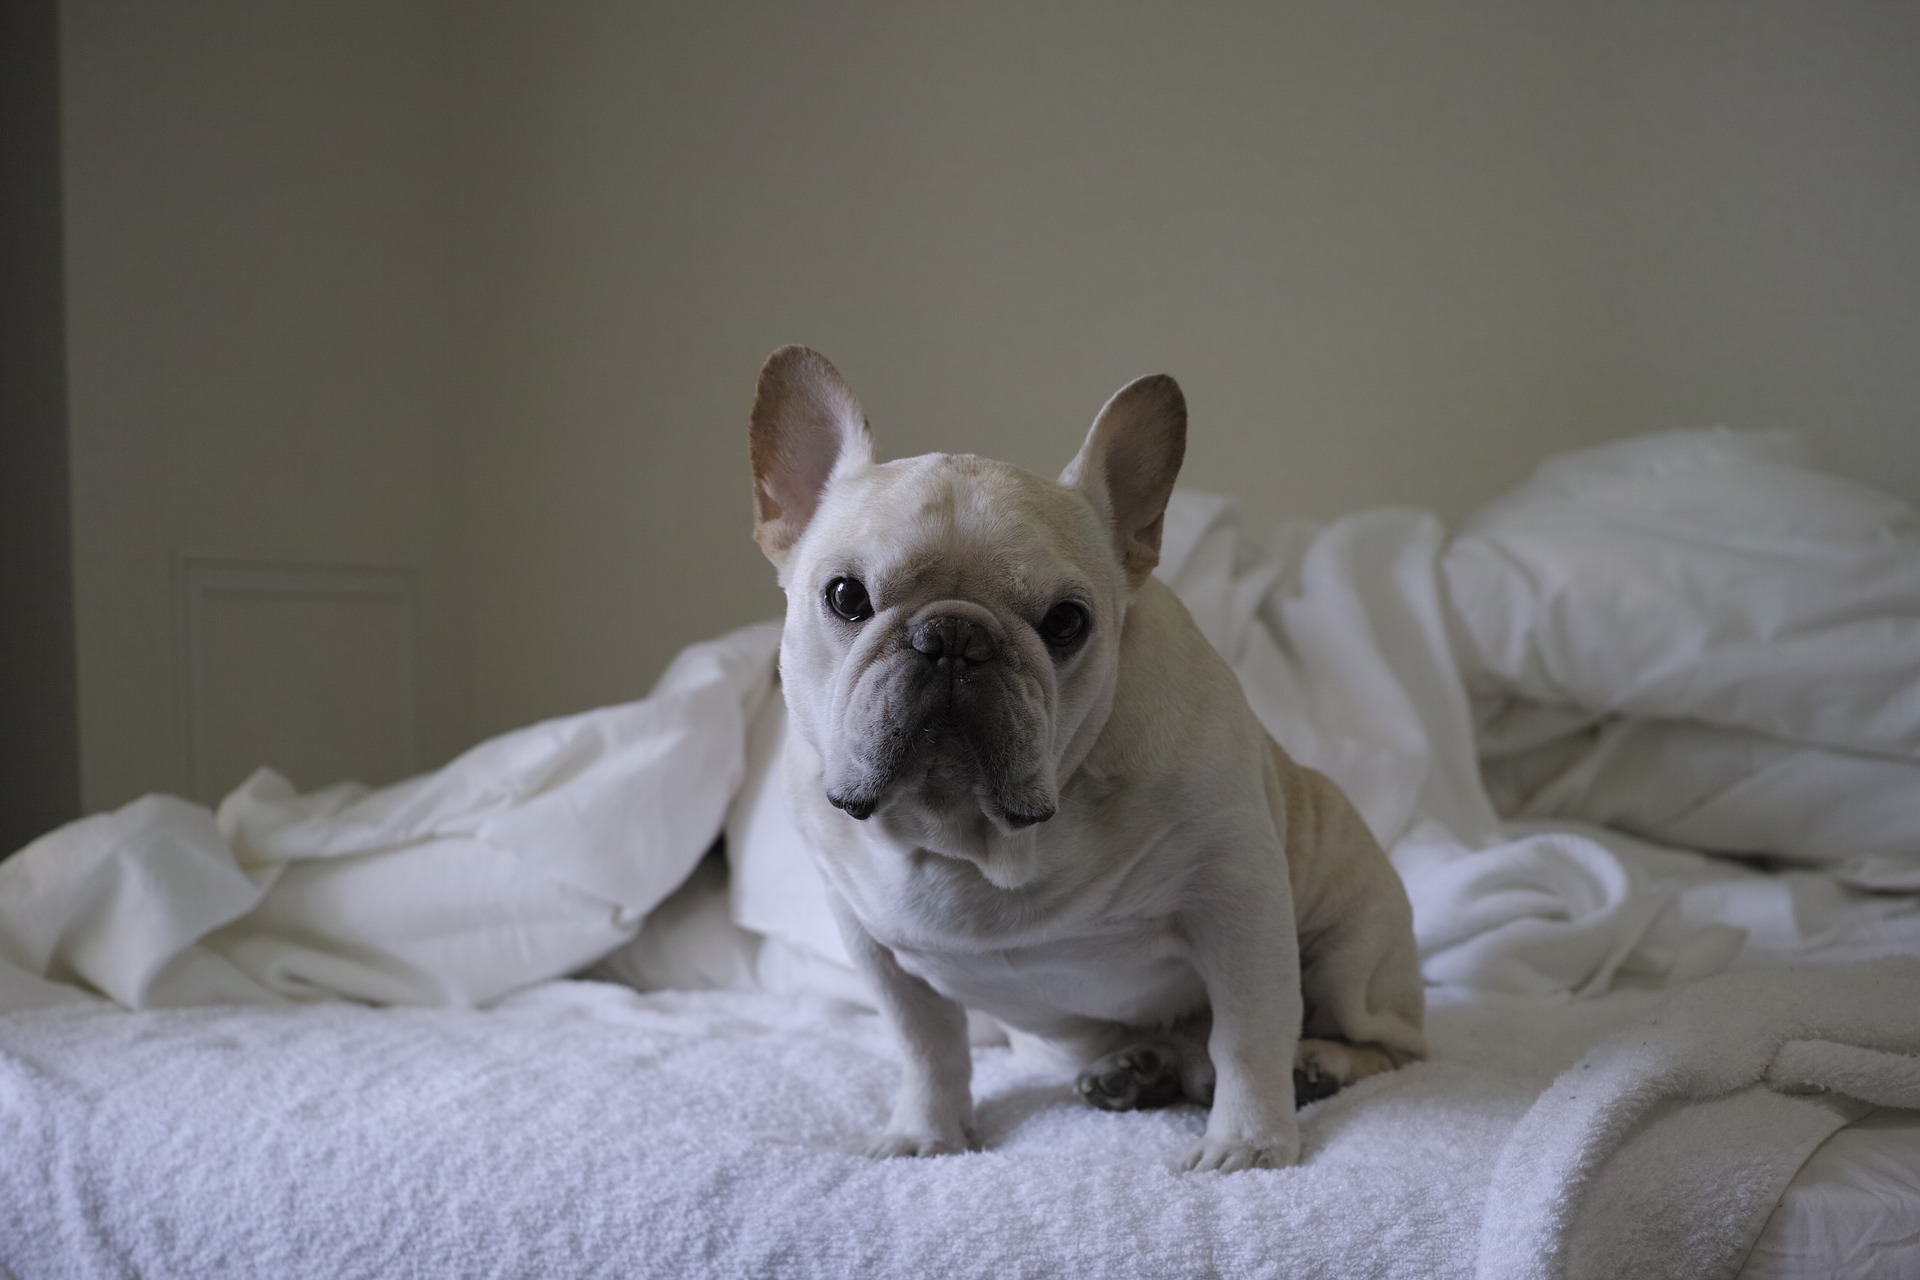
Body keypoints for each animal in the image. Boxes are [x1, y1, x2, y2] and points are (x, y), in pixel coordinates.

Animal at [748, 343, 1428, 1174]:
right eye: (846, 597)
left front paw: (1248, 1144)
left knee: (1382, 1045)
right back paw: (1141, 1068)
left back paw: (1314, 1067)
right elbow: (926, 1047)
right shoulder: (875, 949)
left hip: (1352, 954)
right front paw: (926, 1134)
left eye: (1067, 622)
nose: (954, 637)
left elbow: (1251, 1032)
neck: (976, 839)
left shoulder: (1237, 903)